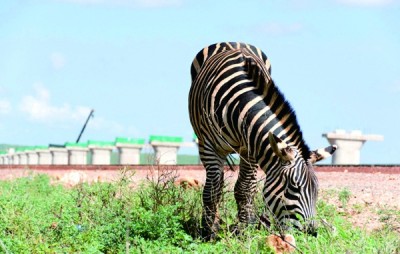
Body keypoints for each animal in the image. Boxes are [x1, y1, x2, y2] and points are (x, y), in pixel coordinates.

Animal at [189, 41, 336, 238]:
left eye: (316, 190)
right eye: (294, 188)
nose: (311, 233)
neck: (240, 105)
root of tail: (232, 41)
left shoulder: (250, 148)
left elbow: (245, 188)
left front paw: (245, 229)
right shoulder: (209, 146)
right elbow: (212, 190)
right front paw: (207, 232)